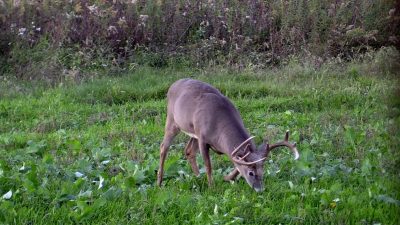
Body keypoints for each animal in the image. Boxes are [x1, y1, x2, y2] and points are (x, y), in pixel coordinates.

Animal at [158, 78, 298, 192]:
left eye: (262, 170)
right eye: (251, 173)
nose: (260, 189)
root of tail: (173, 85)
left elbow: (236, 161)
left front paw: (226, 178)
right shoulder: (203, 138)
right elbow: (208, 165)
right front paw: (212, 187)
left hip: (192, 132)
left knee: (188, 151)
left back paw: (198, 177)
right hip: (172, 120)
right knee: (163, 147)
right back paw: (159, 182)